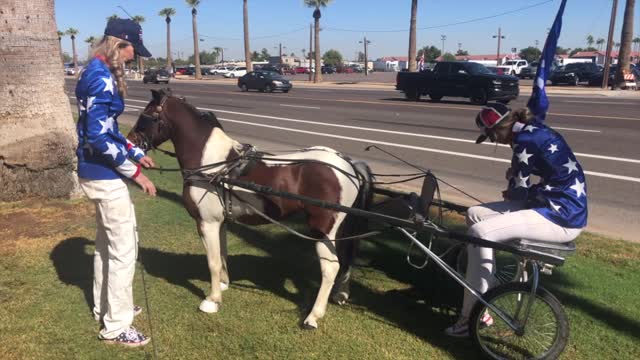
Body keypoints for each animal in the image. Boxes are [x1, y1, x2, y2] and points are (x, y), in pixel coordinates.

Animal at [127, 90, 372, 330]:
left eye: (144, 117)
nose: (129, 142)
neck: (212, 165)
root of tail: (349, 164)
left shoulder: (207, 223)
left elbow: (213, 261)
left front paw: (212, 300)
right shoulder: (220, 222)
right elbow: (222, 255)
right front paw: (223, 284)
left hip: (322, 231)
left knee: (330, 268)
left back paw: (313, 316)